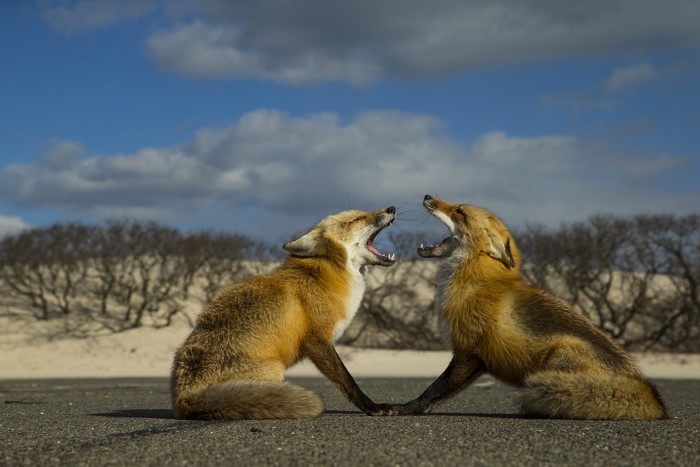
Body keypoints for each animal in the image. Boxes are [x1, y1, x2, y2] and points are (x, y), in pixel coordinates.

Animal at [171, 206, 399, 420]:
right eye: (356, 219)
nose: (391, 208)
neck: (327, 276)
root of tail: (186, 398)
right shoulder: (316, 339)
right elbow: (347, 379)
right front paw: (372, 407)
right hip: (274, 370)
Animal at [390, 194, 667, 420]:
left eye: (459, 212)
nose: (427, 196)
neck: (476, 280)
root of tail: (653, 398)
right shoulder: (479, 360)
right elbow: (439, 395)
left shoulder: (469, 352)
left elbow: (433, 389)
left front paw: (403, 409)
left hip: (560, 351)